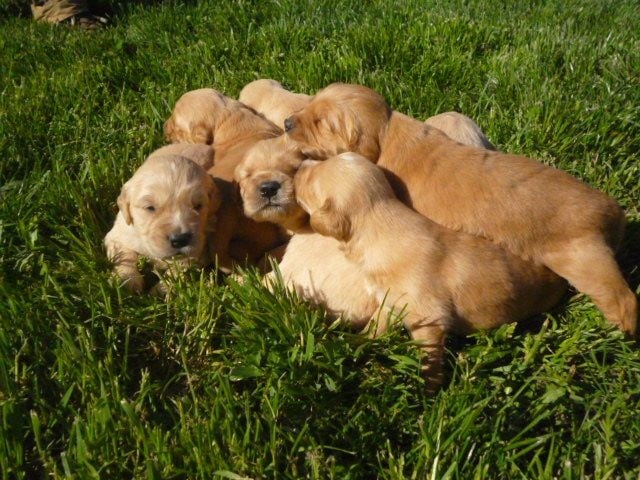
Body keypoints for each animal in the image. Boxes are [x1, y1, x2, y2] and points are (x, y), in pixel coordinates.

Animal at [284, 82, 636, 336]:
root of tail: (613, 213)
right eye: (310, 104)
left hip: (583, 259)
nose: (287, 122)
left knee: (623, 300)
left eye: (320, 122)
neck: (388, 131)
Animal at [292, 156, 568, 392]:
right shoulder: (390, 303)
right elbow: (375, 327)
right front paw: (355, 342)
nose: (297, 166)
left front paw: (427, 393)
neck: (381, 226)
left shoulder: (429, 319)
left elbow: (429, 359)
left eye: (309, 183)